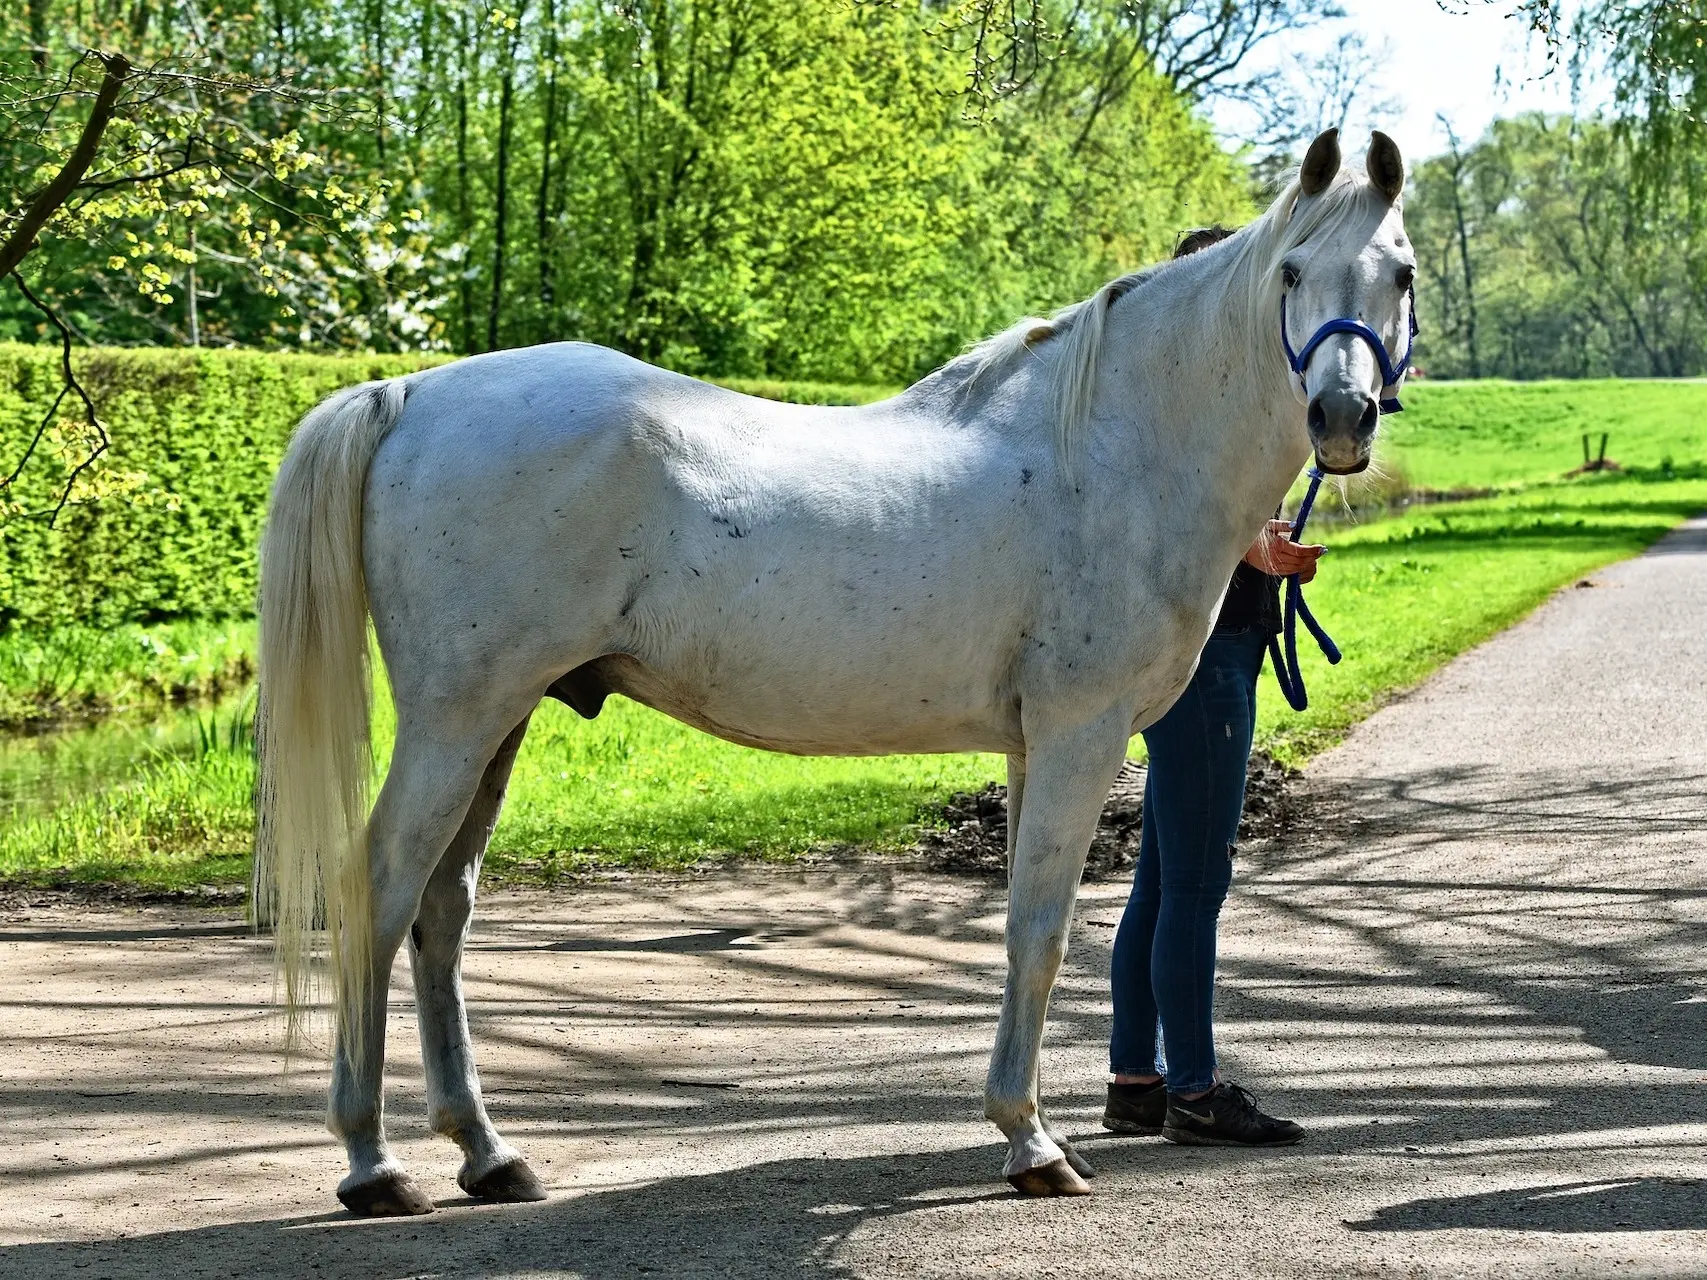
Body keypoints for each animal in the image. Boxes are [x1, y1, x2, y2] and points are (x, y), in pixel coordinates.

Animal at [256, 130, 1413, 1215]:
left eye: (1398, 272)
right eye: (1292, 271)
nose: (1340, 420)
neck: (1111, 447)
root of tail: (409, 392)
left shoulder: (1036, 744)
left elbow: (1023, 931)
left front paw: (1024, 1126)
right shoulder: (1080, 736)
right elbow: (1041, 932)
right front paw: (1031, 1144)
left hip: (498, 722)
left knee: (442, 910)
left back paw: (488, 1154)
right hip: (456, 719)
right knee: (381, 889)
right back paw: (371, 1162)